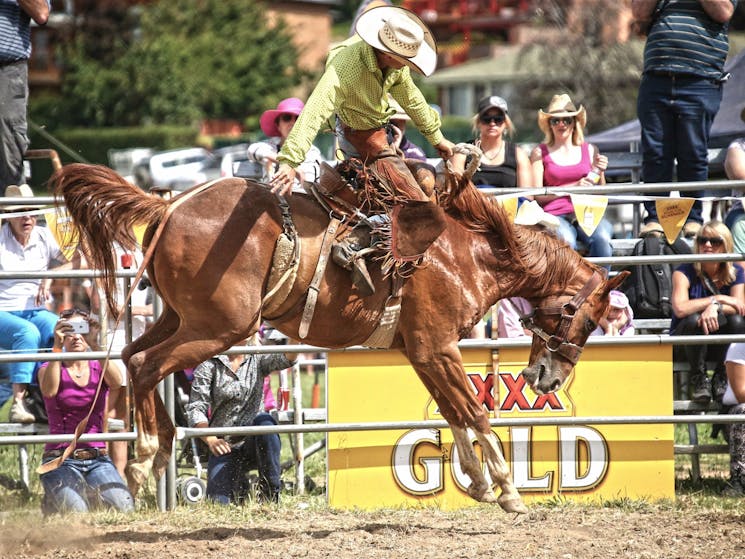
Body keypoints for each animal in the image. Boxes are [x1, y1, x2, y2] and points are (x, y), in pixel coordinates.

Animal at [49, 161, 624, 512]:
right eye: (588, 319)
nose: (547, 379)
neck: (471, 254)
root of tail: (169, 205)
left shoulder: (423, 352)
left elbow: (454, 411)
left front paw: (480, 483)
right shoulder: (437, 347)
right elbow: (475, 411)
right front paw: (506, 489)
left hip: (180, 317)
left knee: (131, 356)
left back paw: (158, 447)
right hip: (219, 327)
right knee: (146, 365)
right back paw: (146, 453)